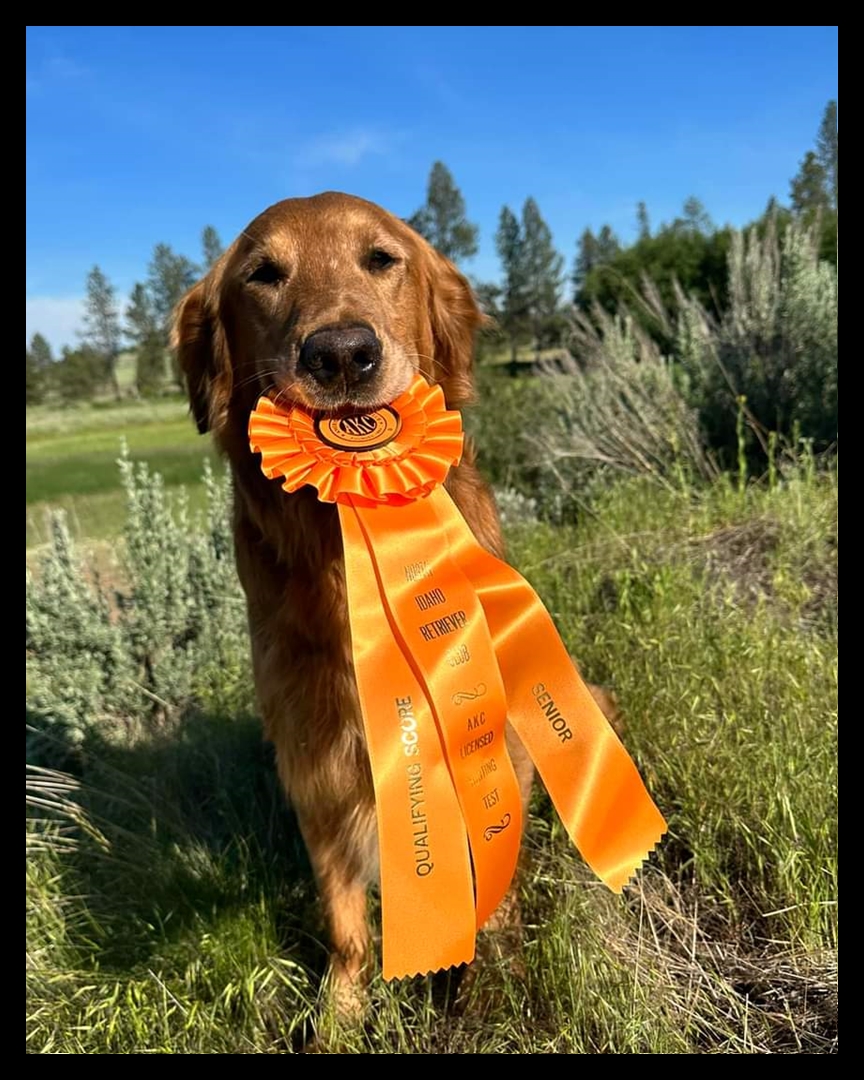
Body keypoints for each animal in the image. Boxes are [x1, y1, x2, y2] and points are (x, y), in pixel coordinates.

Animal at [171, 194, 613, 1010]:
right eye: (263, 274)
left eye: (381, 258)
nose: (342, 353)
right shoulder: (312, 750)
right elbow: (344, 913)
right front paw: (341, 1011)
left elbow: (492, 863)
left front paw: (493, 984)